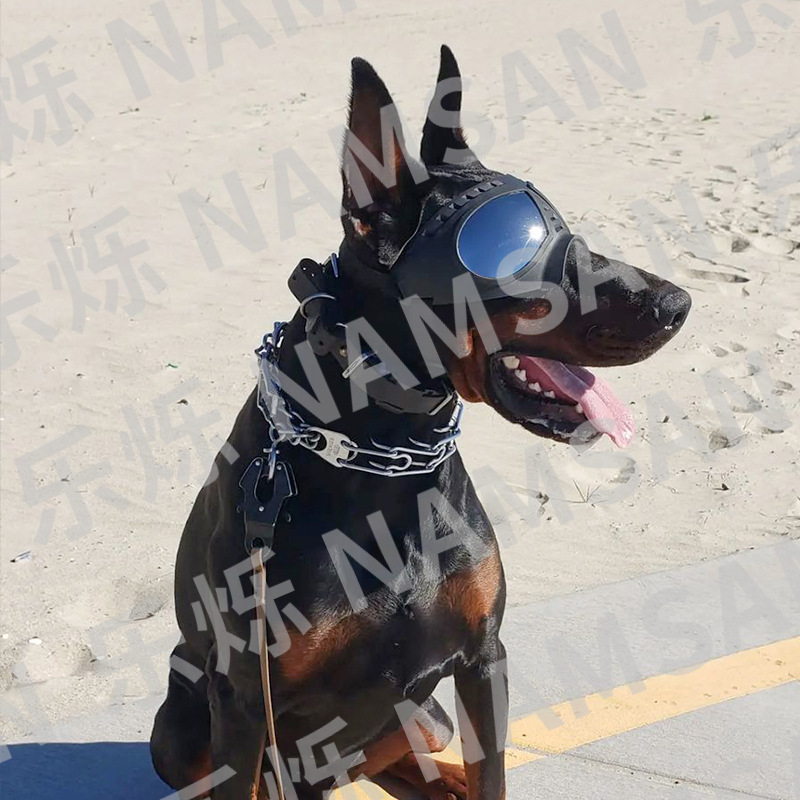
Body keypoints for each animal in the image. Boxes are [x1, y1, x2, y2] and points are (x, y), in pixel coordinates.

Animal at [150, 46, 691, 800]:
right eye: (516, 252)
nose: (678, 302)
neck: (385, 453)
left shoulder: (483, 655)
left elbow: (492, 773)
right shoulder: (244, 699)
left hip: (420, 714)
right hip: (182, 724)